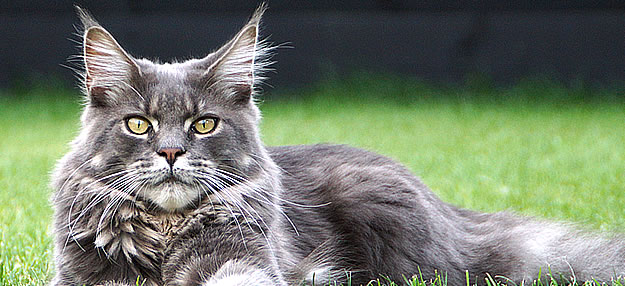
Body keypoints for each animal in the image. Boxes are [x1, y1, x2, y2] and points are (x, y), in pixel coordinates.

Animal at [50, 4, 624, 286]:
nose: (171, 153)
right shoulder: (85, 274)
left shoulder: (245, 254)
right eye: (139, 125)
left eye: (205, 125)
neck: (165, 228)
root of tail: (452, 212)